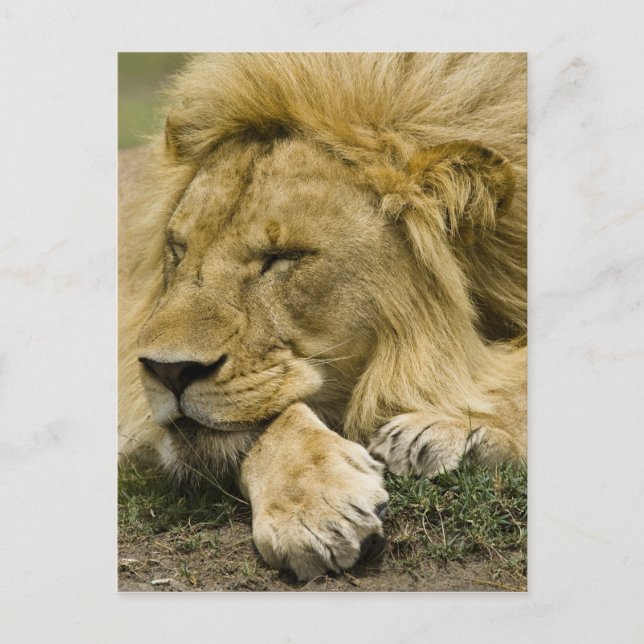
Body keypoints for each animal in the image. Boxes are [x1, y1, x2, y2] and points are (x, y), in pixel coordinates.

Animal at [119, 53, 527, 581]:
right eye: (178, 249)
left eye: (284, 256)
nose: (167, 371)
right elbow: (272, 417)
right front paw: (314, 507)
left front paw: (453, 427)